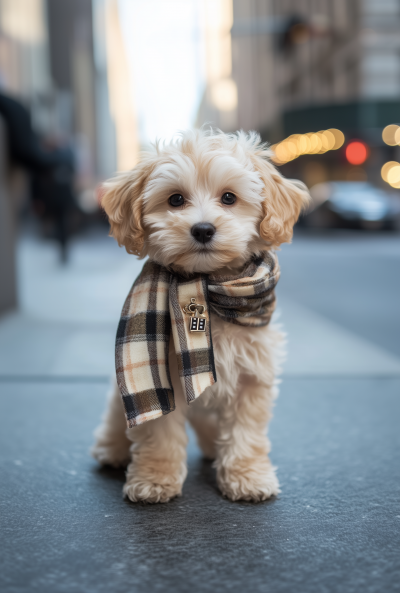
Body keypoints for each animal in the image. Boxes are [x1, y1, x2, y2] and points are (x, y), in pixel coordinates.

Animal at [91, 127, 310, 502]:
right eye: (176, 200)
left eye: (229, 198)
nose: (203, 229)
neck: (208, 289)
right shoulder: (163, 378)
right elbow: (159, 431)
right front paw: (155, 478)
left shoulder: (252, 376)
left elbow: (246, 433)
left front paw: (247, 476)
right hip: (118, 400)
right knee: (116, 417)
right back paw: (112, 449)